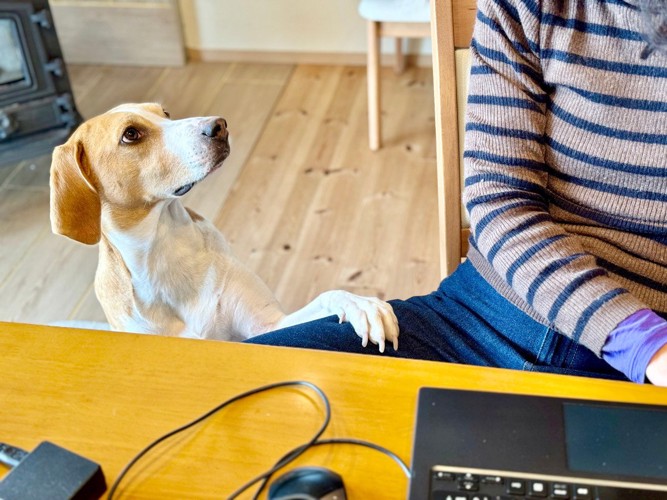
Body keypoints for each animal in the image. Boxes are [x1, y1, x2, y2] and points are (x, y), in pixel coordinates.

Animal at [51, 103, 402, 350]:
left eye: (165, 113)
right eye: (131, 134)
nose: (218, 125)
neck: (165, 250)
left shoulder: (270, 327)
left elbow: (330, 296)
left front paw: (361, 305)